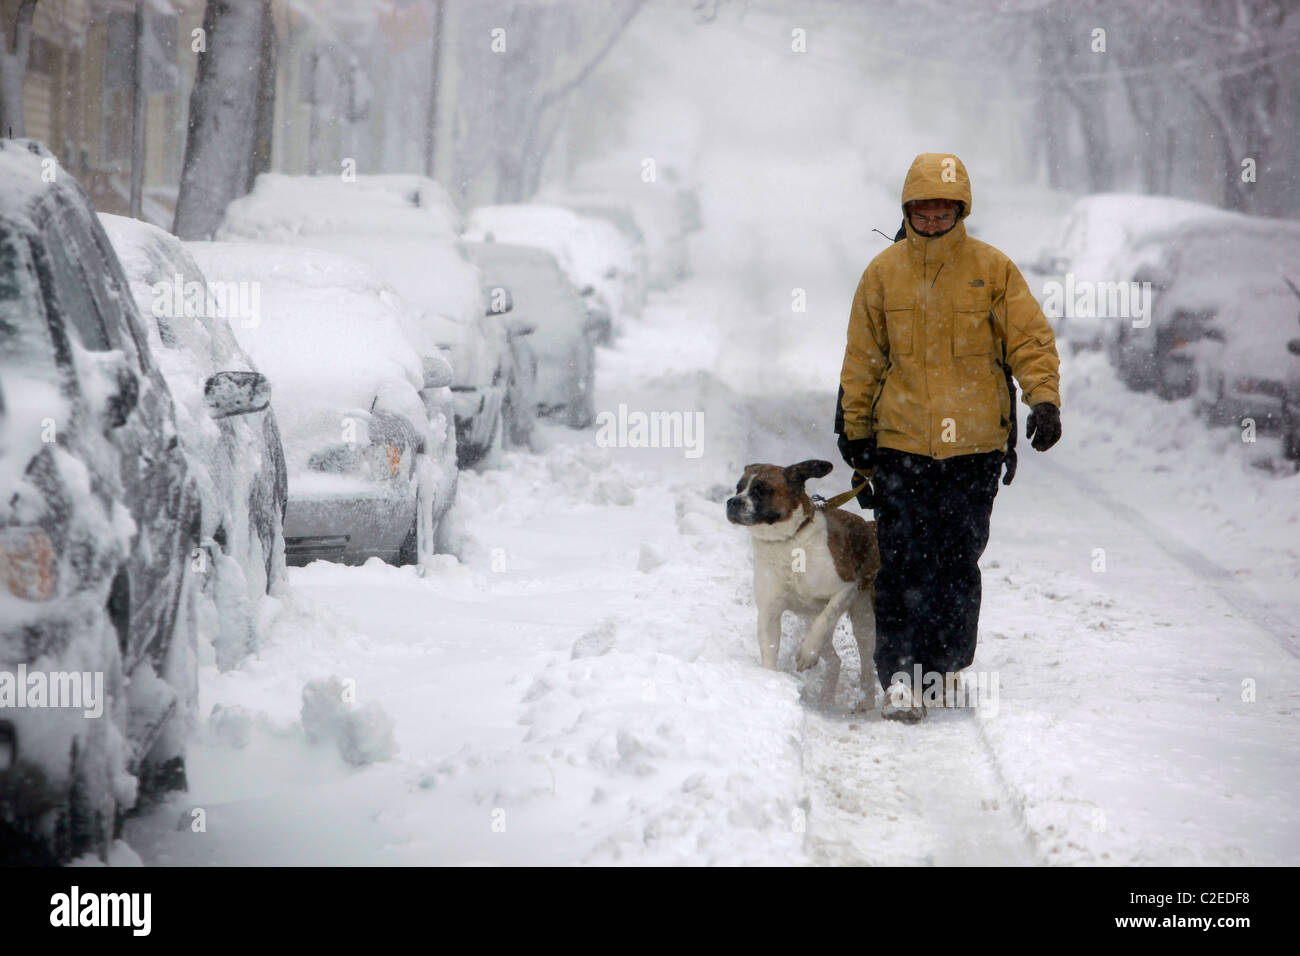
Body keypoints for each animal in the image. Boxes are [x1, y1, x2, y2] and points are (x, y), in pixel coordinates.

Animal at [728, 460, 878, 707]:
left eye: (760, 490)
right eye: (738, 487)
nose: (732, 502)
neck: (787, 542)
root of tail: (866, 524)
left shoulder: (846, 588)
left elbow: (826, 618)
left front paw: (807, 653)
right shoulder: (769, 611)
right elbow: (769, 649)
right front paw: (768, 683)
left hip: (863, 613)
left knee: (866, 662)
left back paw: (866, 703)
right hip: (810, 616)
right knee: (835, 660)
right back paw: (826, 698)